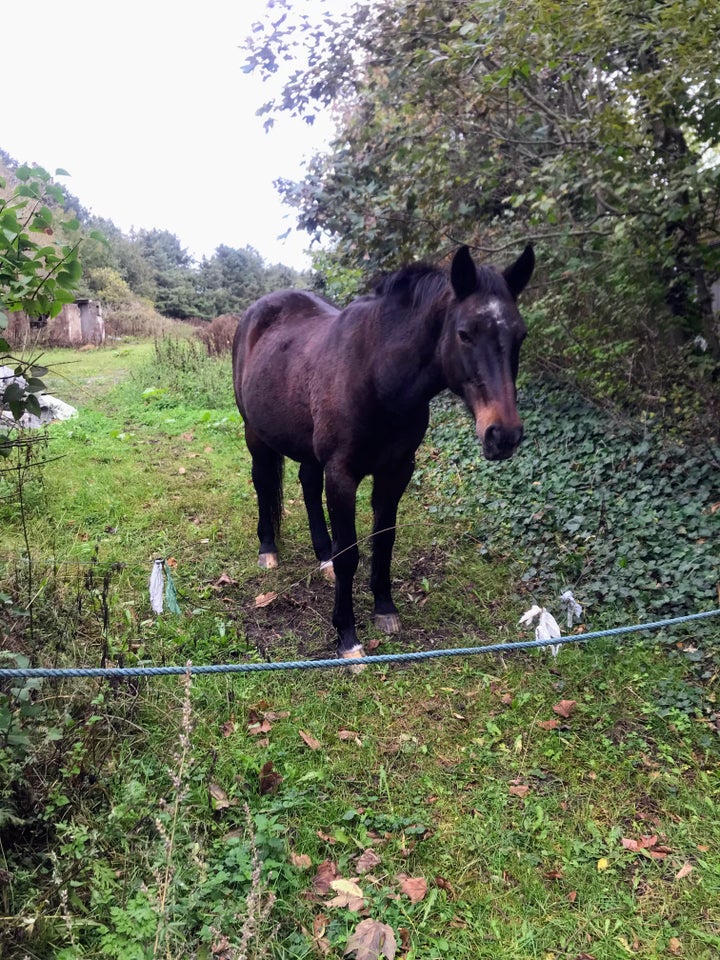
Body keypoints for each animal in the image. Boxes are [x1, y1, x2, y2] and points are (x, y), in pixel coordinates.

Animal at [233, 242, 532, 660]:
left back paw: (322, 556)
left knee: (307, 485)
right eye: (465, 334)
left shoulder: (397, 471)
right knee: (263, 482)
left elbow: (384, 539)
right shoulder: (342, 474)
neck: (378, 375)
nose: (503, 435)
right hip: (255, 434)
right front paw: (347, 637)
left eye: (520, 336)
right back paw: (268, 550)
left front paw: (385, 609)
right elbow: (350, 555)